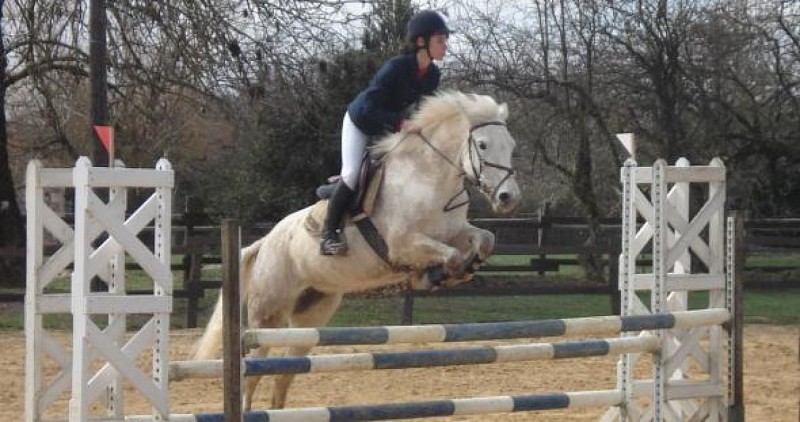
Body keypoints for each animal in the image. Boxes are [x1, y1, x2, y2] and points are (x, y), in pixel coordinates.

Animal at [191, 90, 520, 410]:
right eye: (483, 145)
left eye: (512, 146)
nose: (508, 198)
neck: (429, 179)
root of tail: (264, 243)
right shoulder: (403, 243)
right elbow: (449, 255)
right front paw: (435, 275)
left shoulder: (454, 232)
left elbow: (485, 239)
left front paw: (464, 268)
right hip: (267, 318)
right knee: (253, 374)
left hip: (309, 319)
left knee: (282, 377)